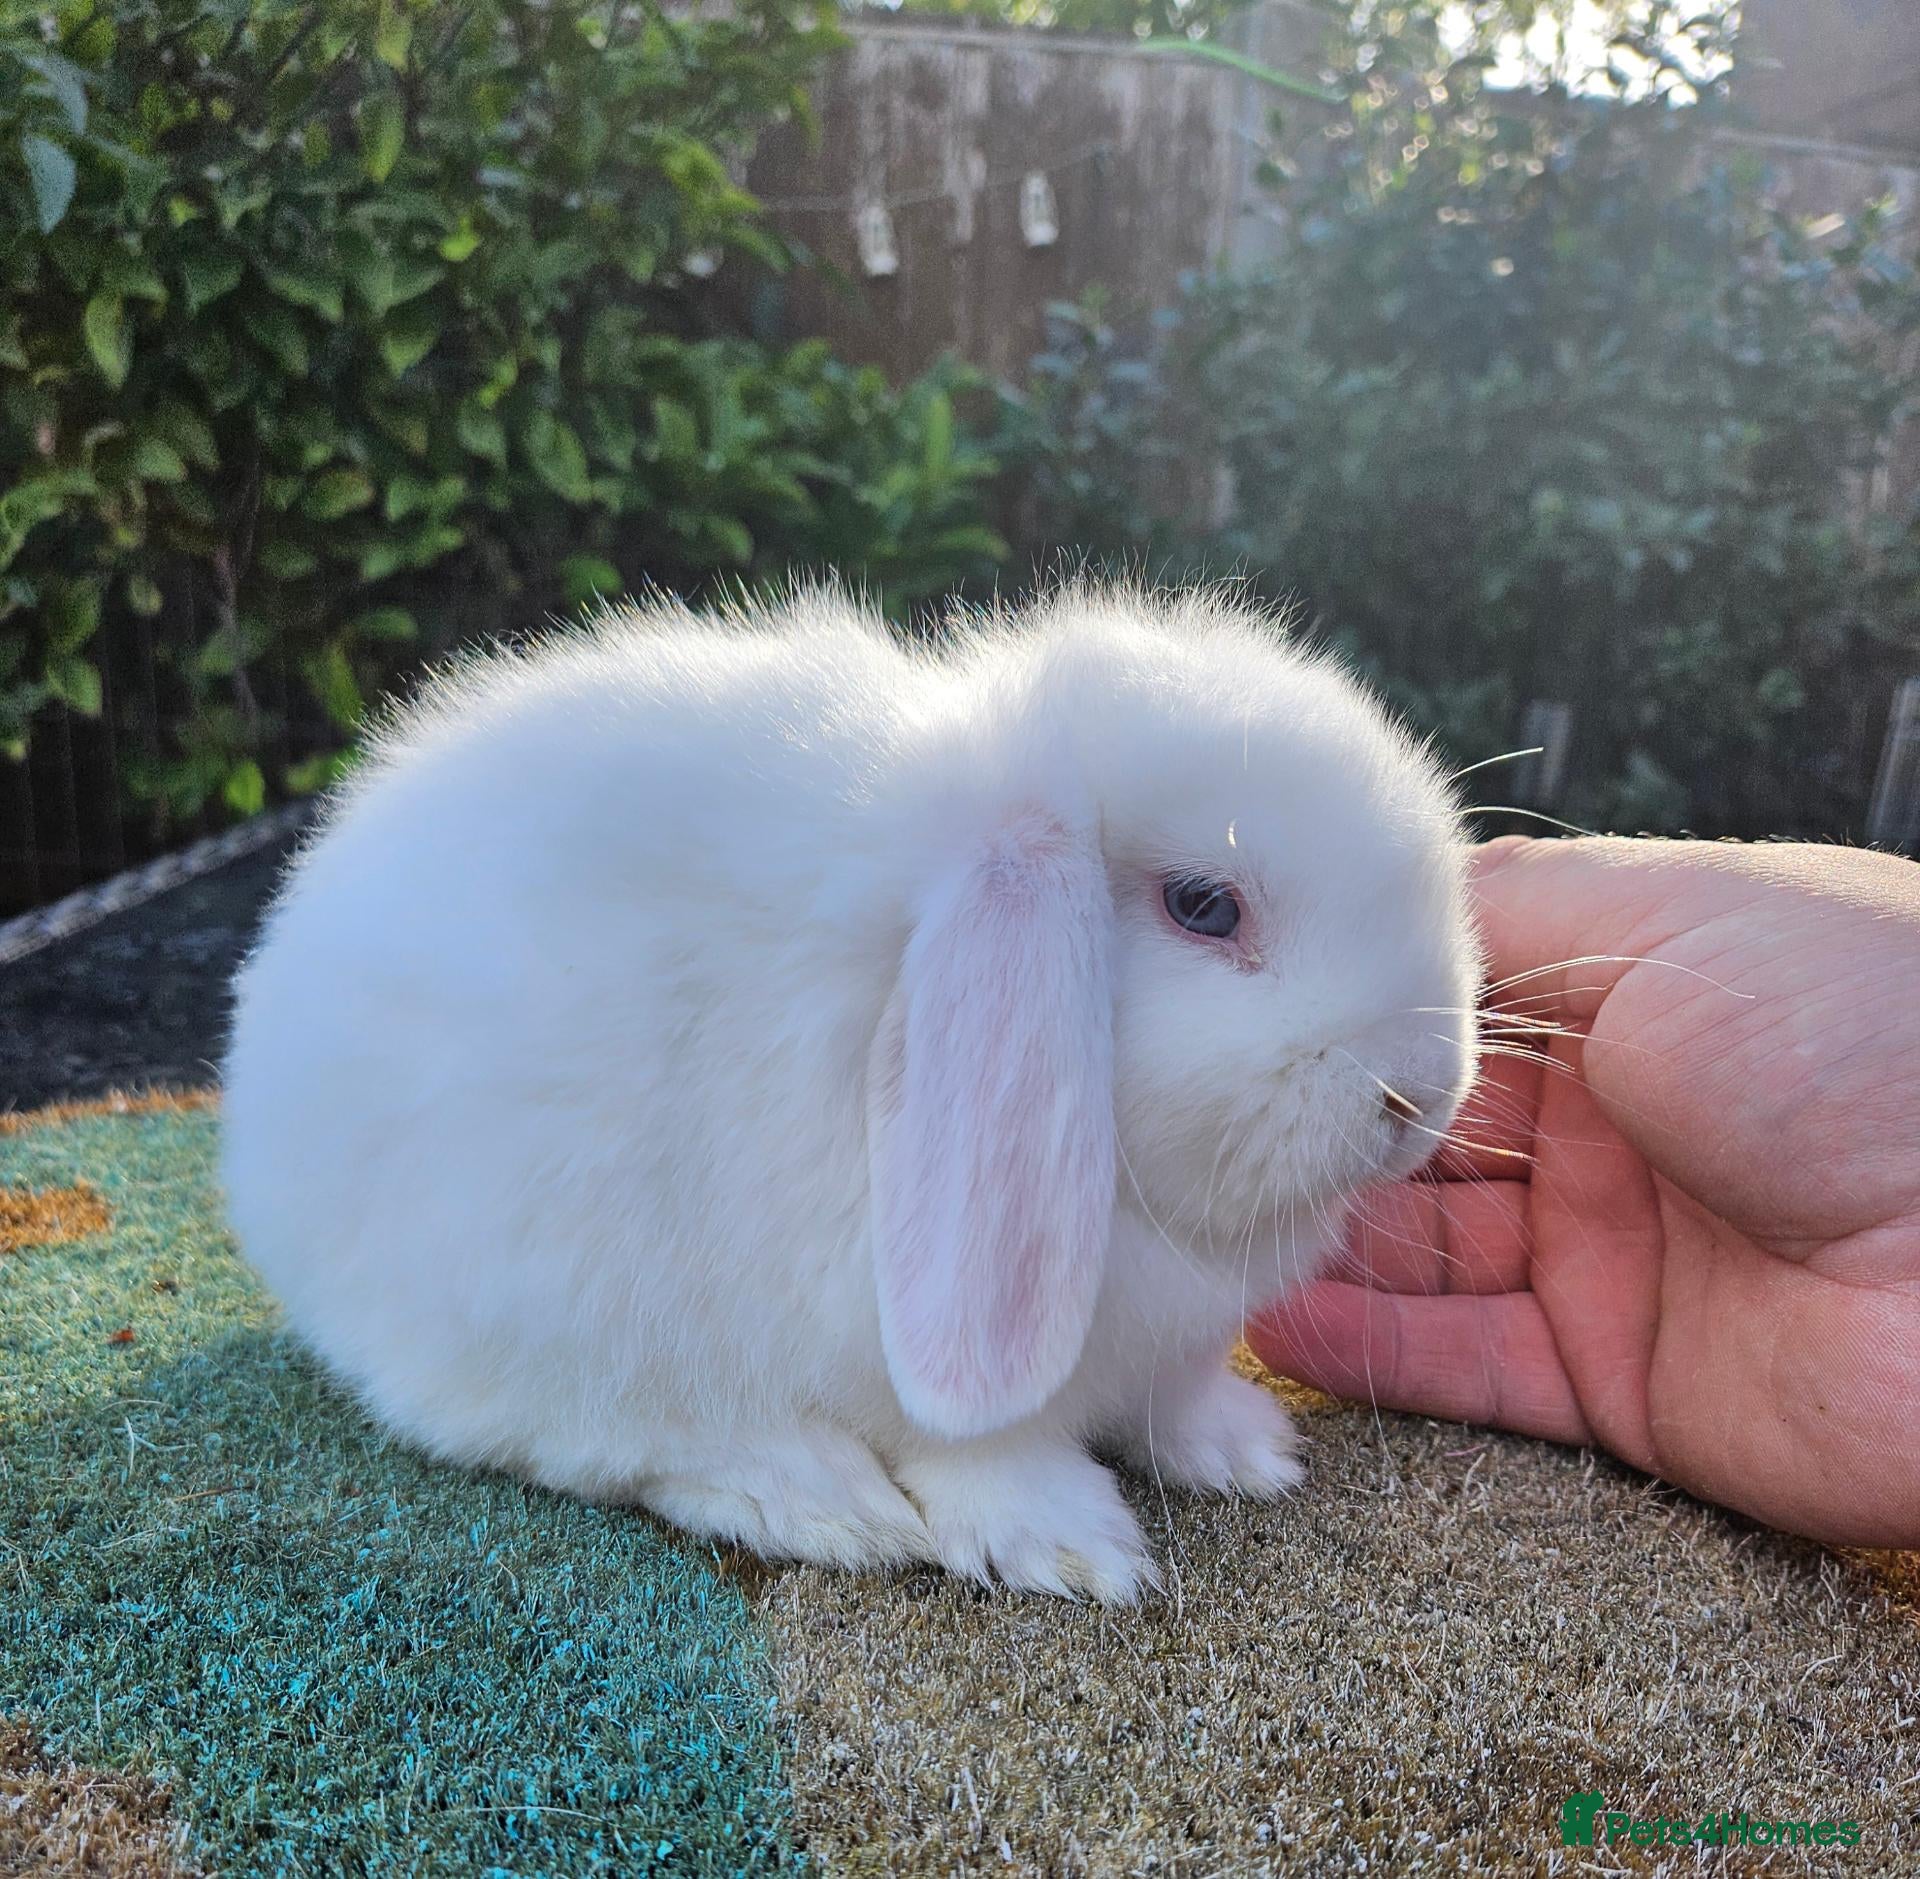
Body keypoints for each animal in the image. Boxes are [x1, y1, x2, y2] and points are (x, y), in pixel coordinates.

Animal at [221, 582, 1480, 1602]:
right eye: (1204, 907)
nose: (1420, 1097)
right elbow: (983, 1450)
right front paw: (1072, 1546)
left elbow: (1176, 1392)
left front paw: (1244, 1451)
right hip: (538, 1302)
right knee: (601, 1436)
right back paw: (824, 1504)